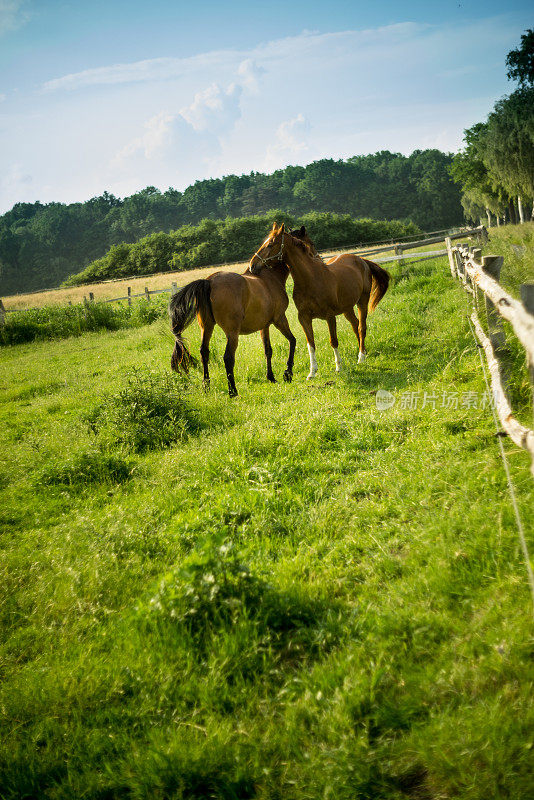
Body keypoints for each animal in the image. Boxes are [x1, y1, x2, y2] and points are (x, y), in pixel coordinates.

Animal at [170, 234, 300, 396]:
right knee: (228, 358)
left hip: (206, 327)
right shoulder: (280, 319)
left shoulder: (264, 326)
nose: (253, 265)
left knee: (204, 353)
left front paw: (271, 377)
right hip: (232, 333)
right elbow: (292, 341)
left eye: (269, 244)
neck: (270, 278)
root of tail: (209, 281)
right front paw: (287, 373)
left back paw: (206, 386)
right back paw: (233, 391)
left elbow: (268, 350)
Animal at [249, 222, 392, 378]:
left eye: (270, 244)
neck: (311, 279)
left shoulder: (330, 316)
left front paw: (338, 367)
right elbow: (310, 343)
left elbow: (333, 341)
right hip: (347, 308)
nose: (252, 265)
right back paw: (362, 352)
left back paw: (361, 357)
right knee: (355, 325)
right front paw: (312, 372)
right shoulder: (304, 318)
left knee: (362, 327)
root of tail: (361, 260)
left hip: (362, 301)